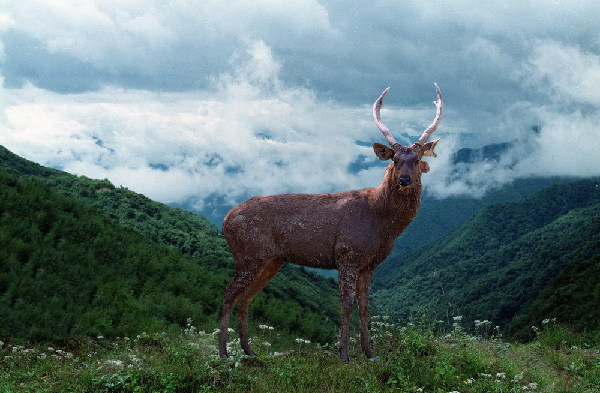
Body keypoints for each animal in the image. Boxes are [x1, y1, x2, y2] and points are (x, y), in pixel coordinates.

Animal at [219, 83, 440, 362]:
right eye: (394, 159)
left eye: (418, 160)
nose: (404, 180)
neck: (382, 225)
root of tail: (225, 221)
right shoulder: (347, 254)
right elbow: (346, 306)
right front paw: (344, 354)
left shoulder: (369, 265)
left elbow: (365, 308)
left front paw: (370, 353)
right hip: (248, 254)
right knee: (228, 293)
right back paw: (224, 352)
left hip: (271, 260)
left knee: (245, 298)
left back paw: (249, 350)